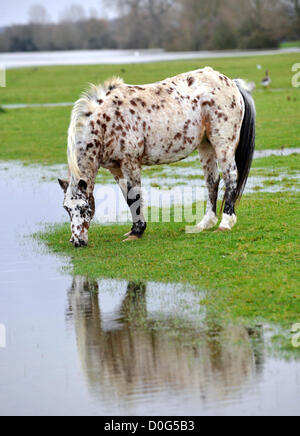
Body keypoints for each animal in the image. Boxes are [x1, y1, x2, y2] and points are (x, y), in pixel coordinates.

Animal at [58, 66, 255, 247]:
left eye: (84, 208)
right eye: (66, 209)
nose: (77, 242)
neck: (107, 120)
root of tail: (231, 83)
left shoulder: (130, 162)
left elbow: (134, 195)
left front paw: (136, 232)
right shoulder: (115, 168)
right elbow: (127, 197)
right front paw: (133, 230)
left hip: (223, 144)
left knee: (230, 177)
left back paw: (225, 223)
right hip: (205, 145)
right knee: (212, 181)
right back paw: (205, 223)